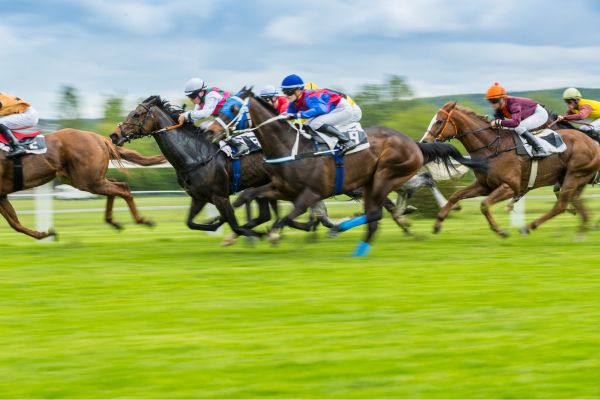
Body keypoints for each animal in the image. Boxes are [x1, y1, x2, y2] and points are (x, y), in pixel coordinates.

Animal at [0, 130, 166, 239]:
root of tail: (100, 138)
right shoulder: (1, 195)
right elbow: (14, 223)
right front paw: (44, 233)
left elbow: (14, 222)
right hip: (85, 179)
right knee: (115, 186)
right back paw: (113, 221)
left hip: (88, 181)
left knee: (122, 188)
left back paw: (142, 220)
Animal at [206, 88, 488, 255]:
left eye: (232, 109)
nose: (210, 131)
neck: (292, 146)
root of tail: (412, 142)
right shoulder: (280, 188)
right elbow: (248, 197)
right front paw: (228, 230)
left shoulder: (311, 193)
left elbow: (288, 217)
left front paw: (272, 234)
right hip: (373, 182)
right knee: (380, 209)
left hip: (384, 176)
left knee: (383, 208)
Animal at [420, 101, 600, 238]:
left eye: (439, 121)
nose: (424, 142)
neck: (493, 147)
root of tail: (592, 142)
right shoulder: (484, 185)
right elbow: (455, 196)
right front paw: (437, 224)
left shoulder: (510, 187)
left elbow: (484, 205)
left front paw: (501, 230)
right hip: (575, 179)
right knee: (577, 205)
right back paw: (580, 233)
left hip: (574, 175)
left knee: (561, 206)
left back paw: (528, 227)